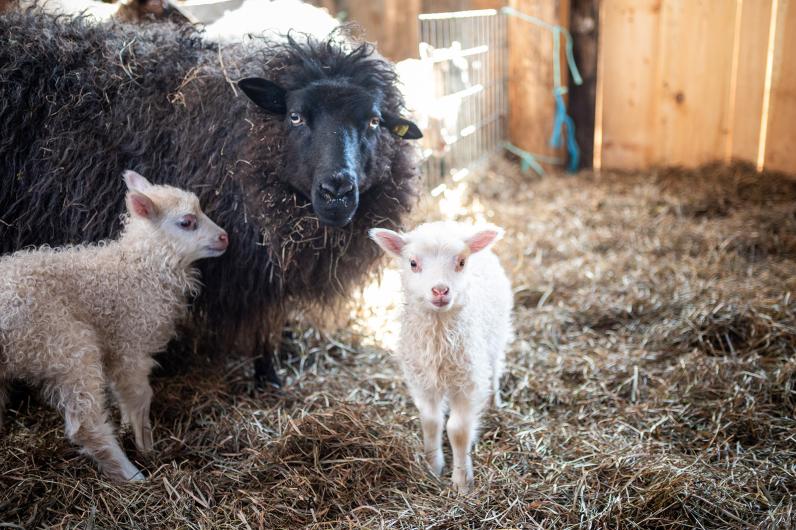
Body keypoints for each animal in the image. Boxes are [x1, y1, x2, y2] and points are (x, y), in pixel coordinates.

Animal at [0, 170, 228, 481]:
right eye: (187, 222)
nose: (225, 237)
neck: (139, 268)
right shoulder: (129, 342)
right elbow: (140, 395)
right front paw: (146, 445)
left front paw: (133, 431)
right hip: (65, 345)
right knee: (87, 426)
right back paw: (133, 476)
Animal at [369, 221, 513, 493]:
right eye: (413, 263)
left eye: (462, 262)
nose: (440, 290)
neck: (438, 341)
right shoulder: (422, 381)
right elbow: (431, 421)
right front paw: (432, 467)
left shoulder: (467, 382)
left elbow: (457, 430)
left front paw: (461, 482)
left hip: (496, 333)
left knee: (494, 367)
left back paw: (494, 401)